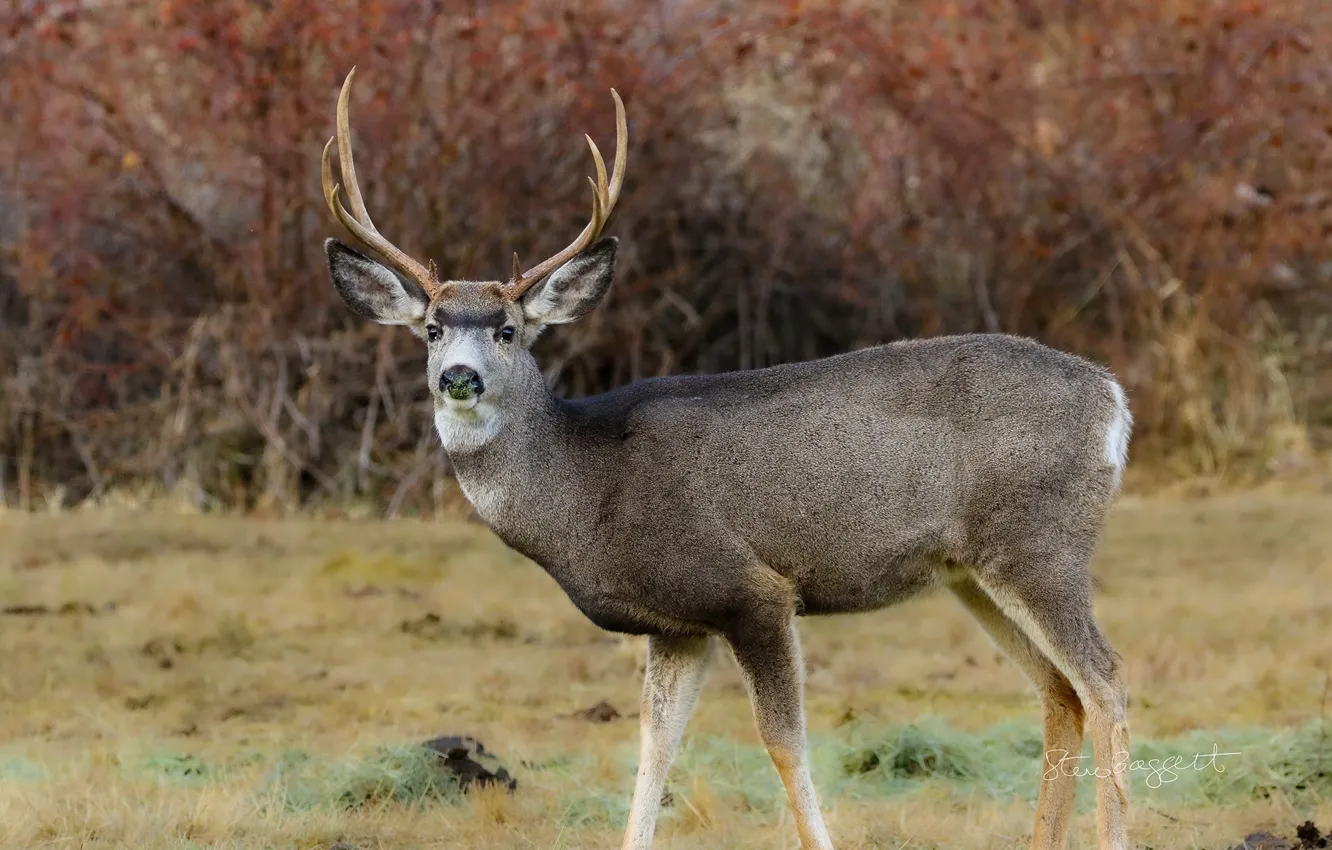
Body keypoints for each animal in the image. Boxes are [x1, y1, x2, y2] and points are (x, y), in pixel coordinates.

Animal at [319, 67, 1133, 850]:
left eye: (509, 329)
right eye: (431, 328)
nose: (460, 377)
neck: (585, 490)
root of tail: (1113, 399)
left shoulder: (751, 589)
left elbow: (783, 744)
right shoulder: (676, 623)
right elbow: (654, 750)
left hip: (1037, 541)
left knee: (1106, 683)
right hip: (971, 570)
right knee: (1060, 693)